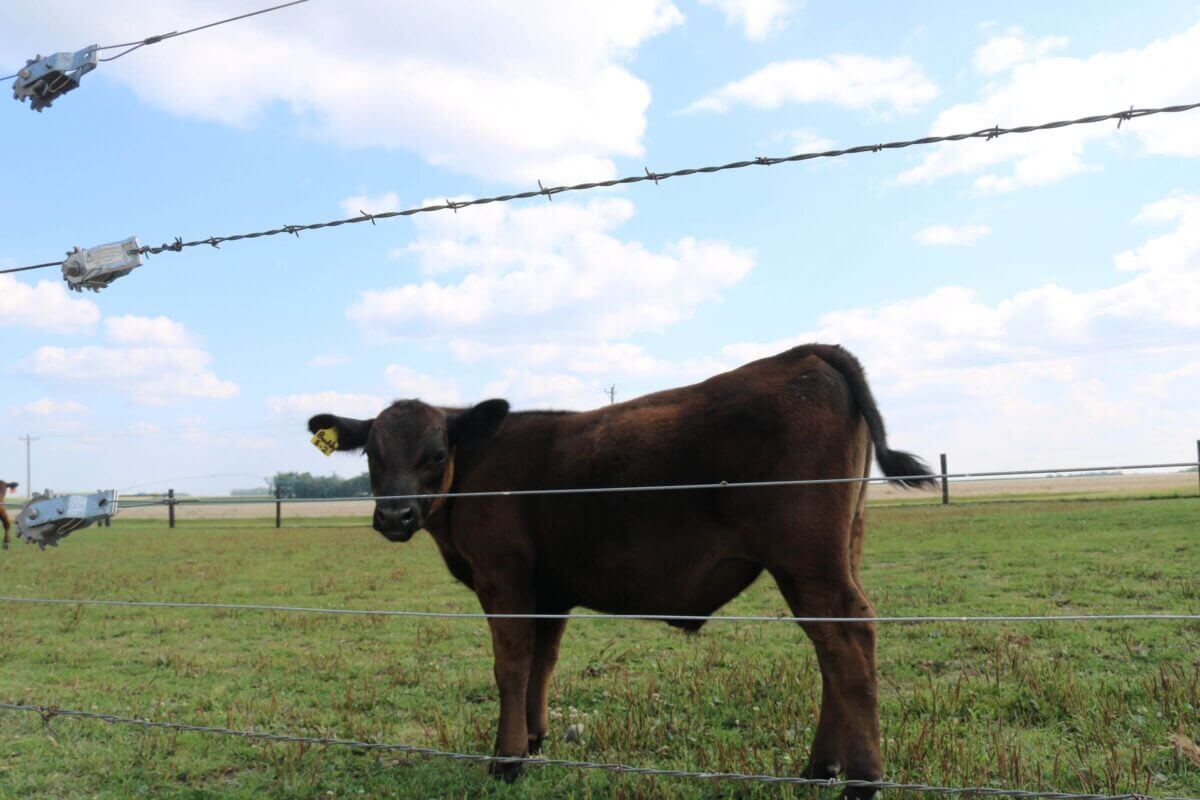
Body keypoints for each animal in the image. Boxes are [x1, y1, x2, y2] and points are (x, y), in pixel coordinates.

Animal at [308, 344, 934, 796]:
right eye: (372, 455)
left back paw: (861, 780)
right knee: (831, 649)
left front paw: (506, 758)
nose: (394, 515)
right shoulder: (549, 590)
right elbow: (542, 663)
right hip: (838, 551)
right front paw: (534, 739)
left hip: (807, 560)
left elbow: (510, 667)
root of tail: (804, 353)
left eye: (437, 453)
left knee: (847, 640)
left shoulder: (502, 578)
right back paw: (820, 768)